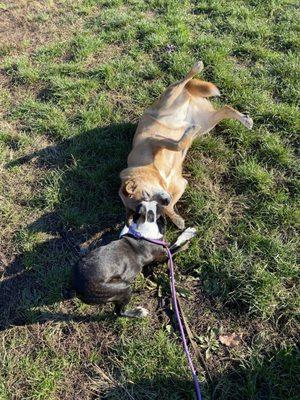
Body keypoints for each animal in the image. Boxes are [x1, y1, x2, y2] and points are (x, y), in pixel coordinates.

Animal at [119, 59, 253, 228]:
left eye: (146, 193)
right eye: (149, 206)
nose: (165, 199)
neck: (151, 170)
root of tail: (188, 94)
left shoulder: (153, 140)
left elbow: (178, 144)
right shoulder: (181, 184)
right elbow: (169, 207)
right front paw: (176, 218)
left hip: (171, 97)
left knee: (184, 80)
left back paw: (197, 67)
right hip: (206, 123)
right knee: (225, 109)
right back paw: (245, 120)